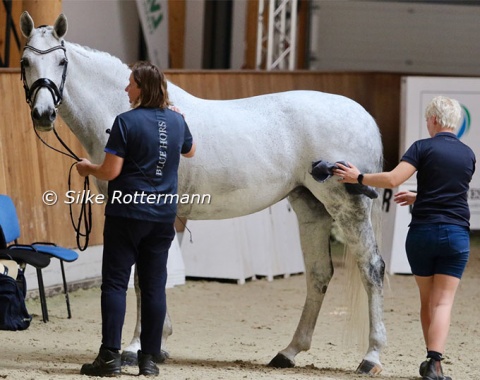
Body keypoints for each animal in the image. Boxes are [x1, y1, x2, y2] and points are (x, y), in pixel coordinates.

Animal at [17, 12, 386, 378]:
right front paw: (157, 345)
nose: (43, 114)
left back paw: (371, 357)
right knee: (319, 273)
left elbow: (143, 280)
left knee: (372, 268)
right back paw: (289, 352)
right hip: (310, 206)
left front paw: (135, 348)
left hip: (347, 207)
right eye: (25, 62)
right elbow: (154, 278)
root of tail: (365, 118)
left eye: (61, 61)